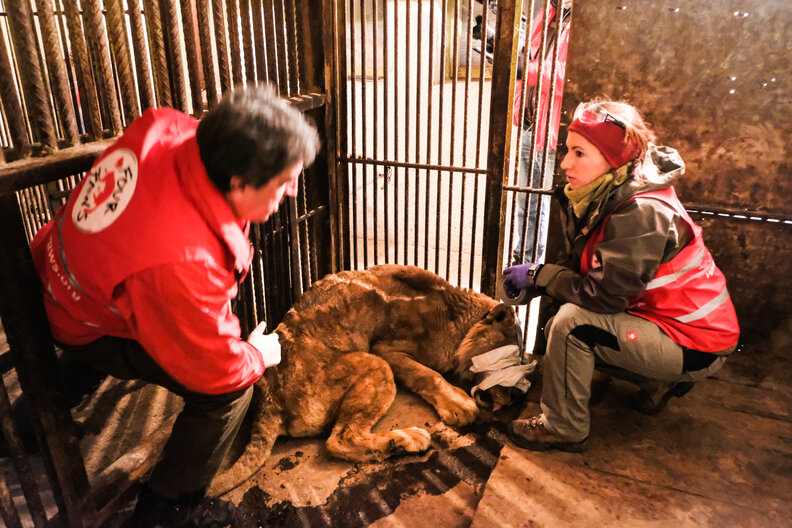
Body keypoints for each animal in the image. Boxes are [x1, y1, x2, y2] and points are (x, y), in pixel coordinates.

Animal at [209, 265, 525, 495]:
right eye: (512, 353)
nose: (519, 396)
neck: (457, 317)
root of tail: (269, 397)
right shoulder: (386, 348)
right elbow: (428, 375)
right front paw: (459, 405)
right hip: (376, 366)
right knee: (339, 440)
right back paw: (407, 440)